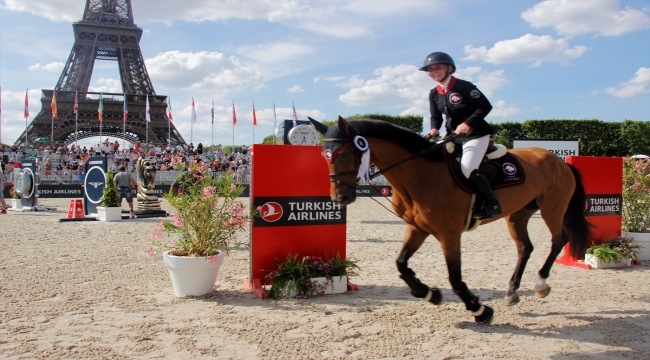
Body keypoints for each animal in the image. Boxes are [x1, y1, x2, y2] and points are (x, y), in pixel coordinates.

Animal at [308, 117, 588, 324]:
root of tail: (557, 159)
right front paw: (428, 293)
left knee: (558, 239)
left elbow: (454, 278)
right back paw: (511, 292)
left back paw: (541, 283)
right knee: (525, 247)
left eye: (345, 154)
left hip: (553, 207)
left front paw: (479, 310)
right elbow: (401, 264)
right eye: (325, 156)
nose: (340, 197)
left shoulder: (449, 234)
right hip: (518, 214)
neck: (421, 174)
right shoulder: (417, 228)